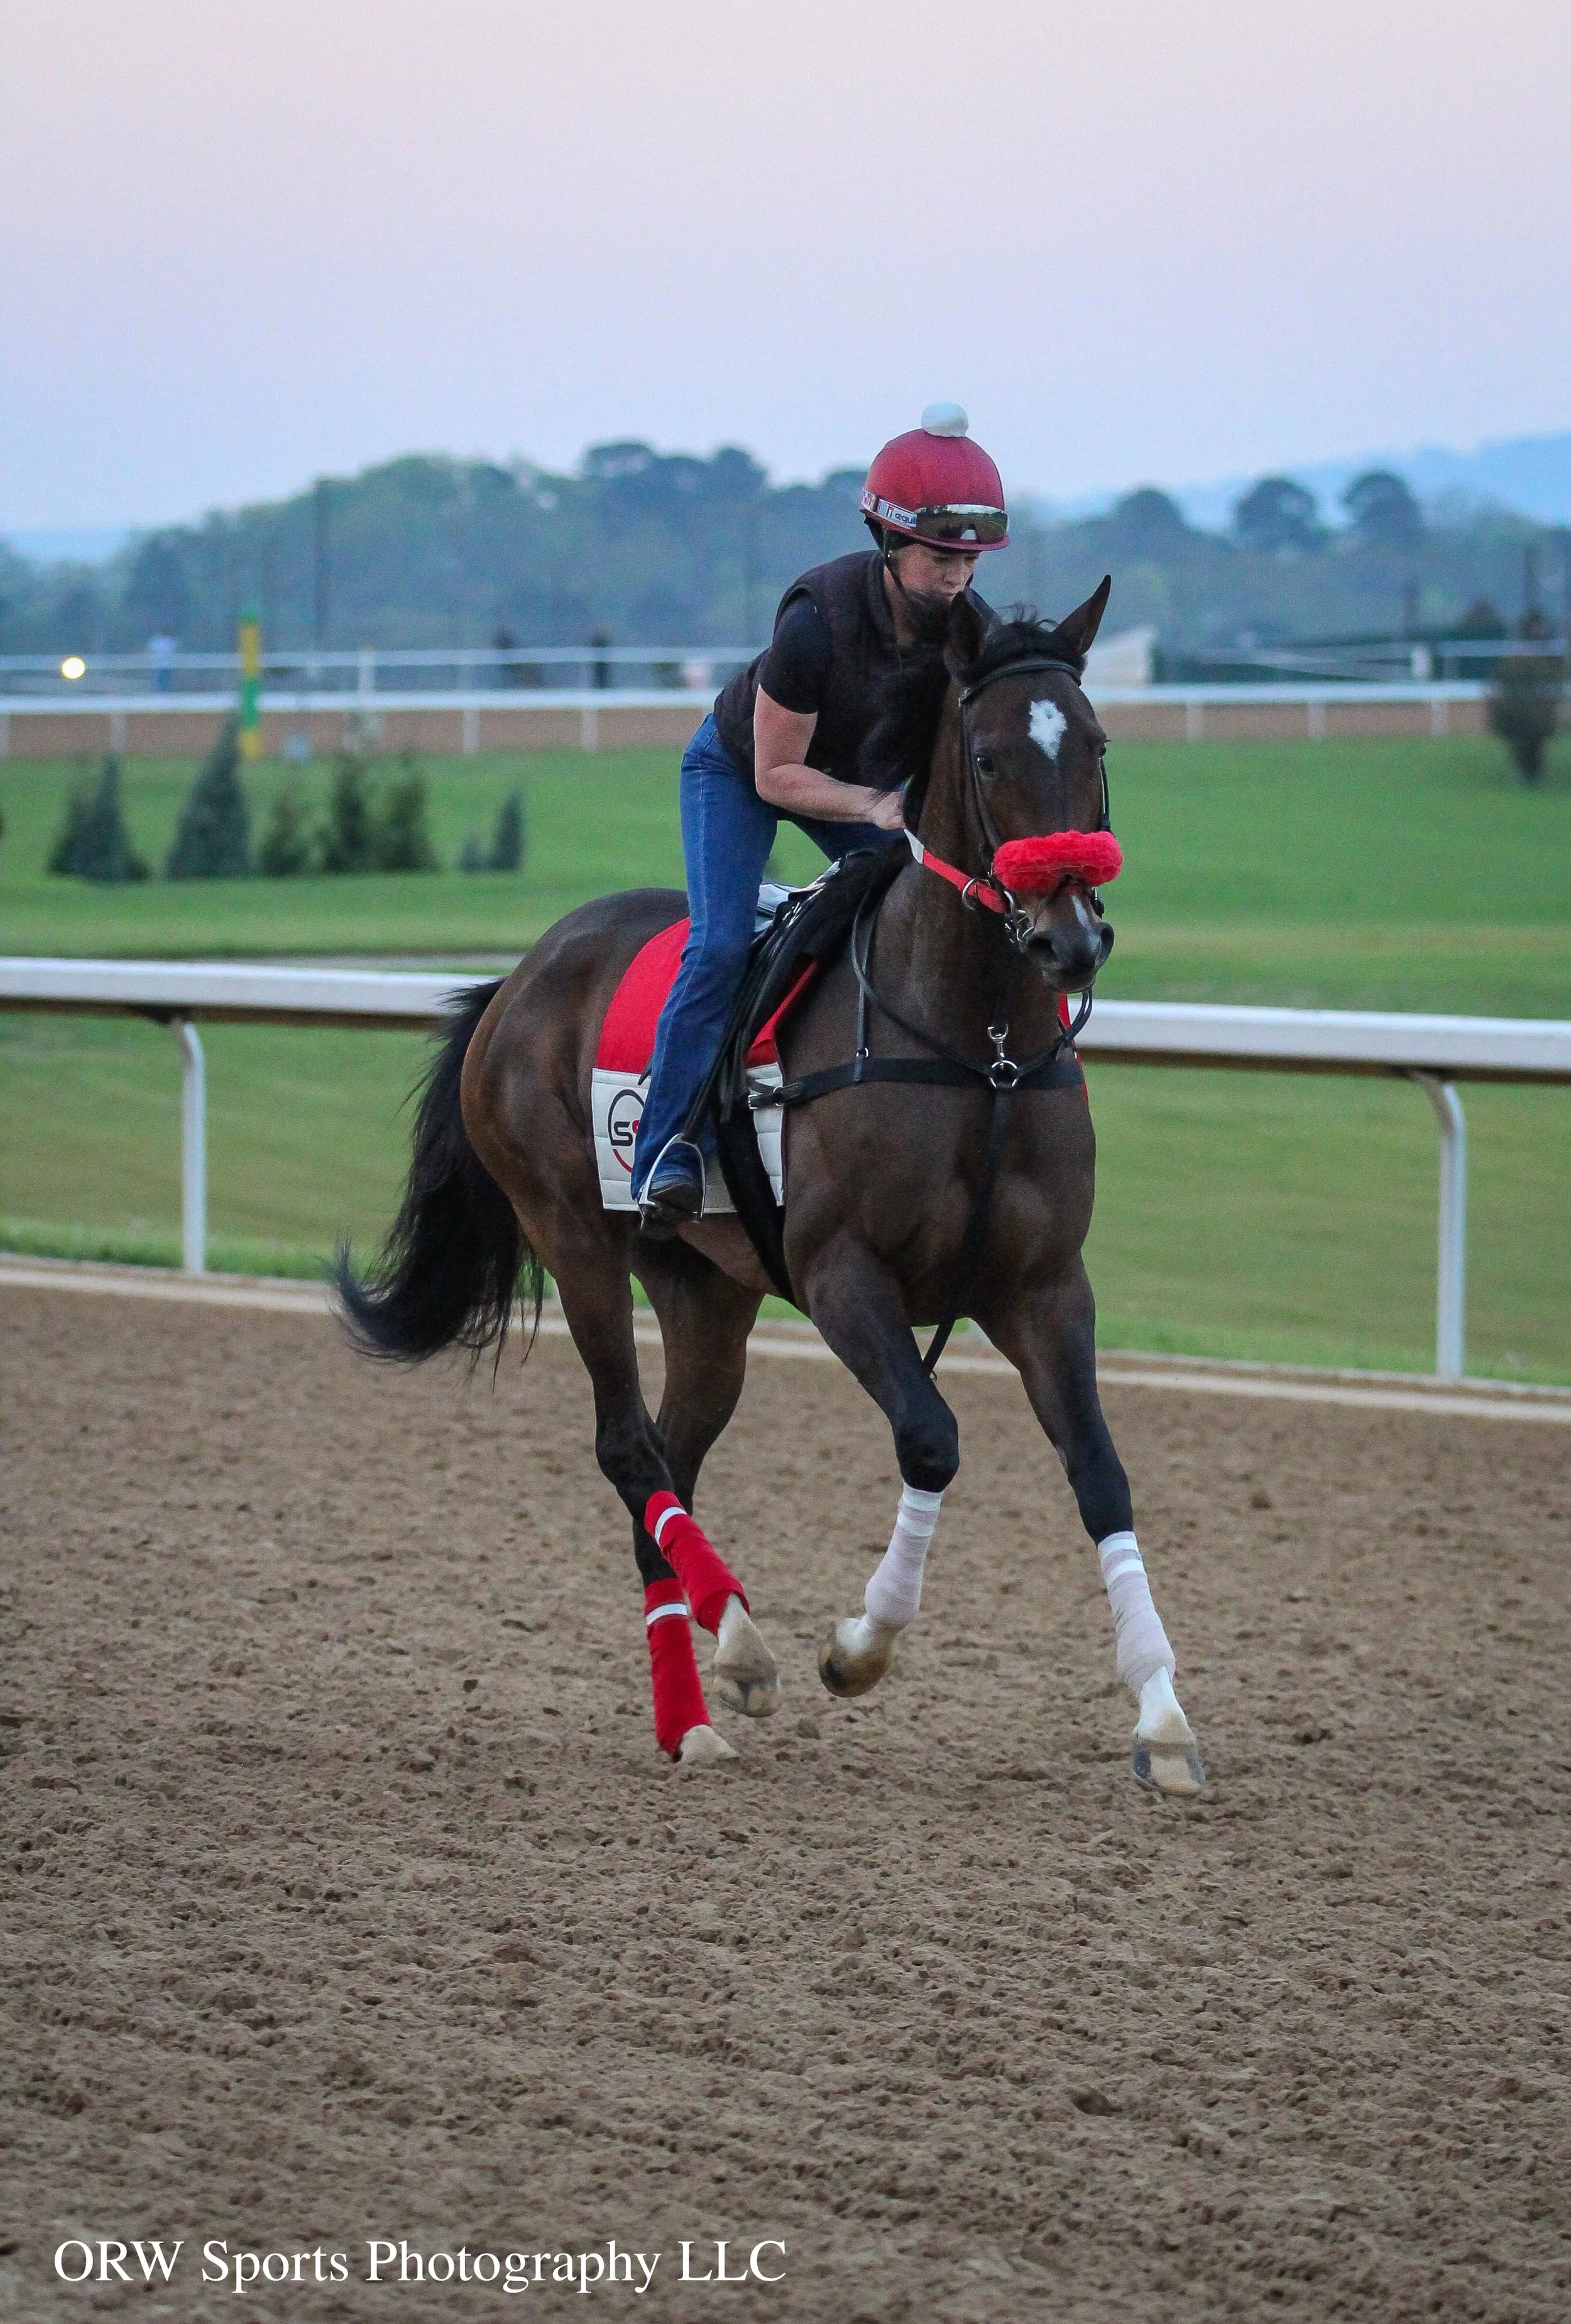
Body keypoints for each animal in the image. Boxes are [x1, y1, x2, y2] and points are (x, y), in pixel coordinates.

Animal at [337, 579, 1206, 1796]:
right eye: (988, 757)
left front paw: (1164, 1717)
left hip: (707, 1292)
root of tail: (516, 978)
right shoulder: (842, 1272)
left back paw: (692, 1710)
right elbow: (932, 1435)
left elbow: (1101, 1474)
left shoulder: (1043, 1287)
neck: (974, 1043)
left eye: (1095, 743)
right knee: (626, 1444)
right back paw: (738, 1646)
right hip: (573, 1228)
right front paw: (857, 1646)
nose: (1069, 937)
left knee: (667, 1463)